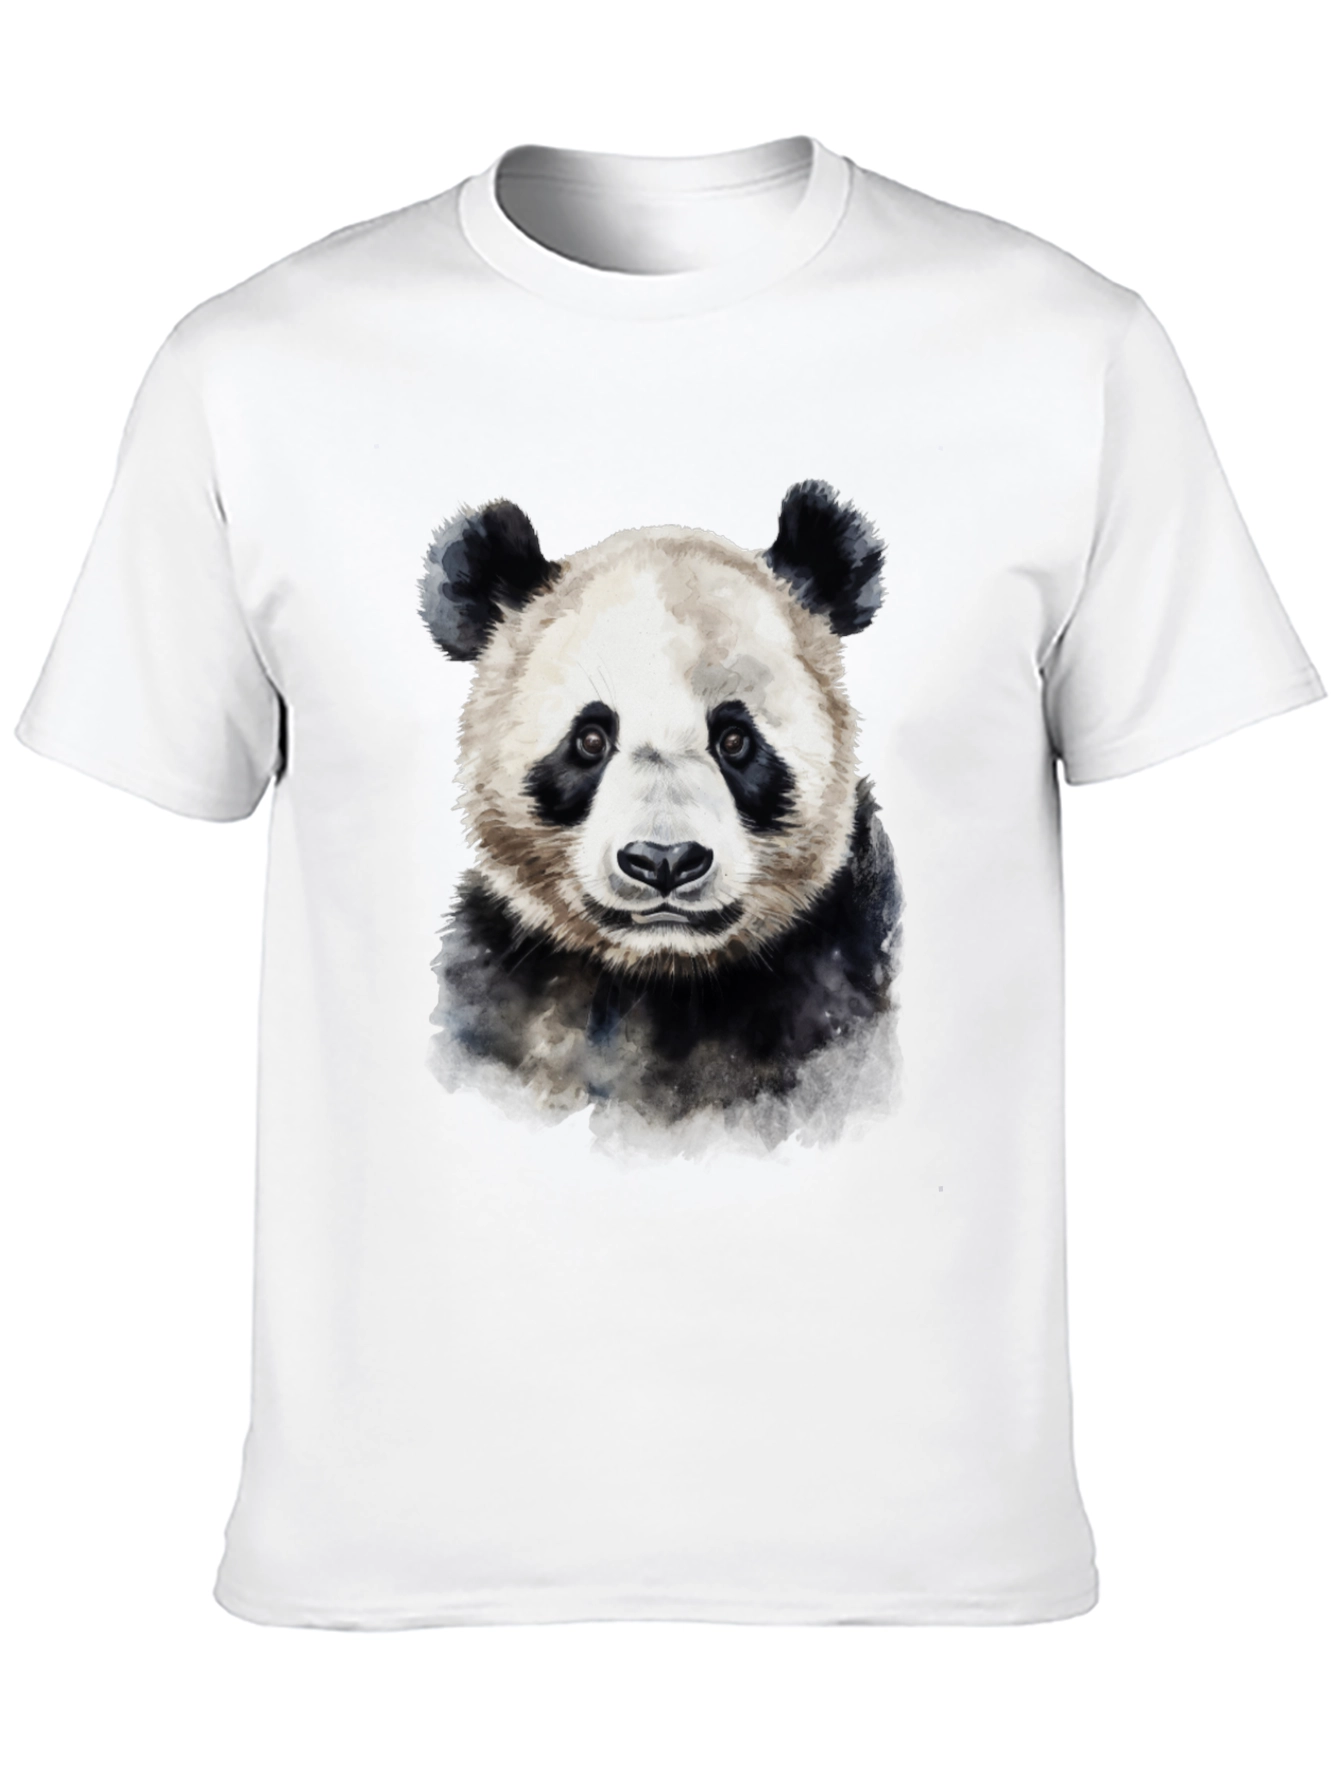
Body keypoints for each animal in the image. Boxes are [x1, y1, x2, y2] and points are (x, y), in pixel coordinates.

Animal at [418, 480, 903, 1155]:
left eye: (735, 741)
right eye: (590, 740)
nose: (665, 861)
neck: (661, 981)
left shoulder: (836, 980)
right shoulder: (506, 986)